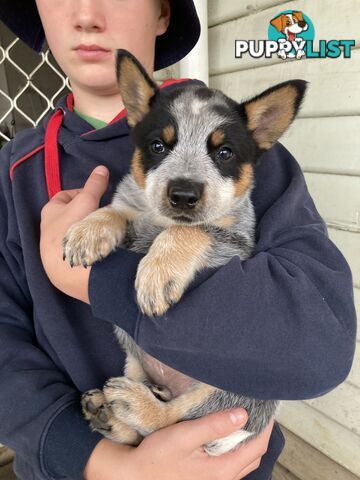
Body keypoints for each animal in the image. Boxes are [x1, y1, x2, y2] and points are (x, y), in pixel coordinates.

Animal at [62, 50, 306, 456]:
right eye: (158, 146)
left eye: (224, 152)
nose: (183, 194)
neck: (160, 218)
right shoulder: (134, 213)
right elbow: (117, 210)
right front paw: (87, 230)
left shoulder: (239, 247)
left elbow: (189, 230)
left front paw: (157, 273)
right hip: (134, 360)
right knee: (142, 433)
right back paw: (108, 414)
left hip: (231, 392)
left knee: (172, 420)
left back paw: (134, 404)